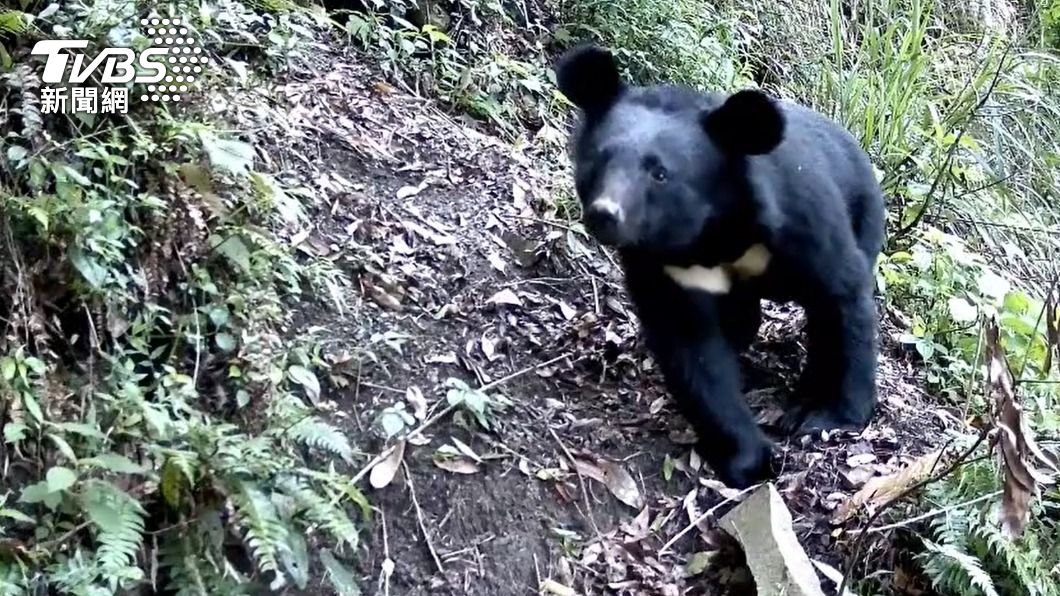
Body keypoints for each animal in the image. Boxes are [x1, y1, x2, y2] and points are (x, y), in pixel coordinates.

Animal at [554, 44, 886, 489]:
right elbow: (694, 350)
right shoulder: (662, 264)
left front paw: (830, 416)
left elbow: (842, 294)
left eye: (660, 173)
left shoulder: (802, 220)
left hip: (864, 214)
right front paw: (748, 459)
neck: (713, 233)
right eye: (599, 160)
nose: (605, 214)